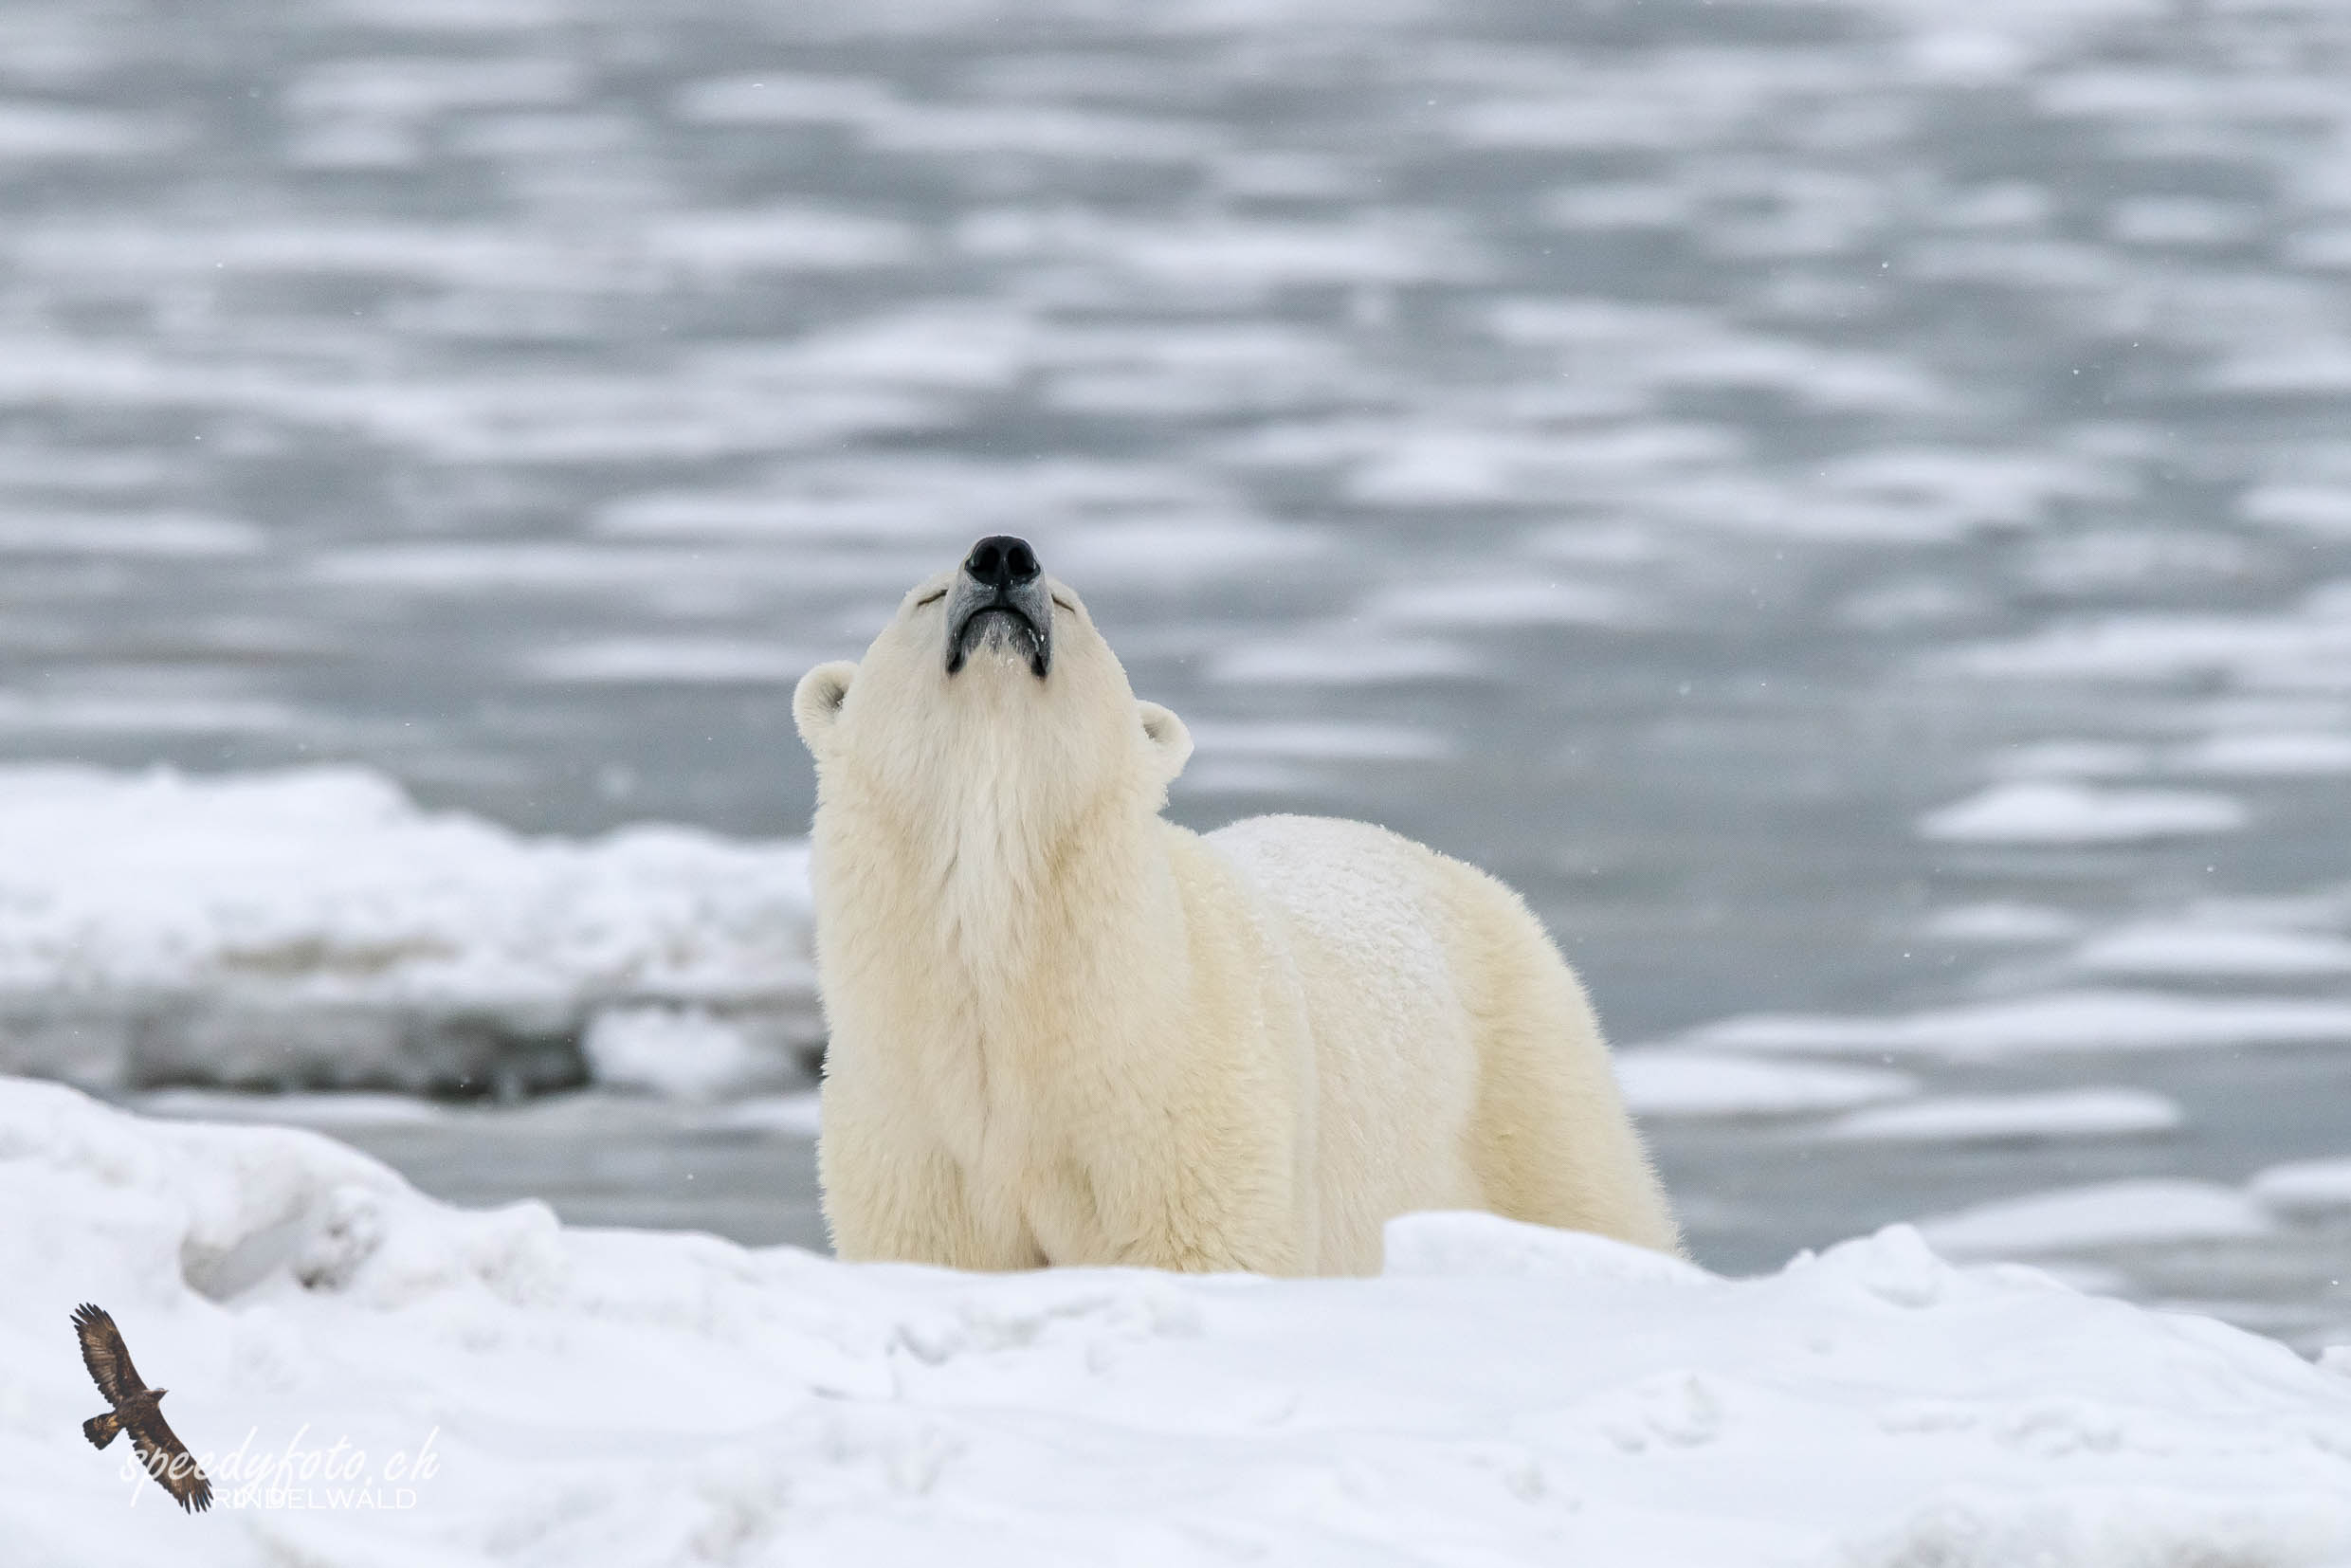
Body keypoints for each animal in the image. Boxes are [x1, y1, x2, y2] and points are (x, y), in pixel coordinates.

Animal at [799, 536, 1683, 1278]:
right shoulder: (914, 1127)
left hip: (1522, 1077)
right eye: (927, 595)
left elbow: (1198, 1248)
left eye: (1074, 606)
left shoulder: (1187, 1099)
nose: (1004, 555)